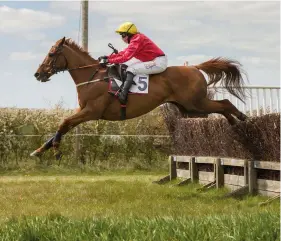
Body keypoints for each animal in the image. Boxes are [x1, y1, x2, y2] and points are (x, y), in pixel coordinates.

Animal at [31, 36, 247, 160]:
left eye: (51, 54)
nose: (38, 74)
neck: (92, 77)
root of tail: (194, 67)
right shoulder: (82, 110)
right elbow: (62, 126)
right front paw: (39, 150)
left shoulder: (92, 111)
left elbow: (63, 123)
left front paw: (56, 151)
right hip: (190, 109)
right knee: (219, 109)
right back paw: (234, 123)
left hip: (196, 103)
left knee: (225, 104)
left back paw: (242, 119)